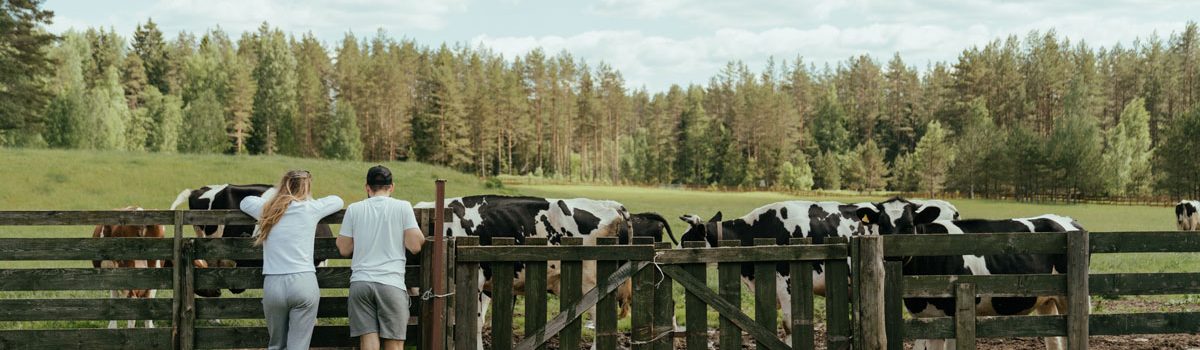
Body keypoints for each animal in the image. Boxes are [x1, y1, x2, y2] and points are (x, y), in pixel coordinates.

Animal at [415, 194, 633, 350]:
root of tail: (607, 204)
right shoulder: (486, 285)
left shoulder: (475, 280)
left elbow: (471, 324)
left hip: (593, 282)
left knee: (601, 319)